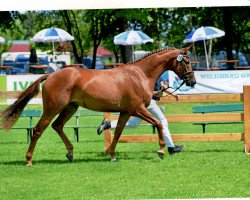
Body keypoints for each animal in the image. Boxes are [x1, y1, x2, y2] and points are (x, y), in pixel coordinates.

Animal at [0, 45, 195, 166]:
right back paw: (29, 160)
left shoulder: (125, 112)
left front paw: (112, 155)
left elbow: (118, 132)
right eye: (186, 61)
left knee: (58, 126)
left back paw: (70, 153)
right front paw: (161, 150)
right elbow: (159, 123)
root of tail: (51, 75)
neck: (139, 75)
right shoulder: (137, 109)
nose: (192, 81)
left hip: (70, 108)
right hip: (52, 108)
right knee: (38, 130)